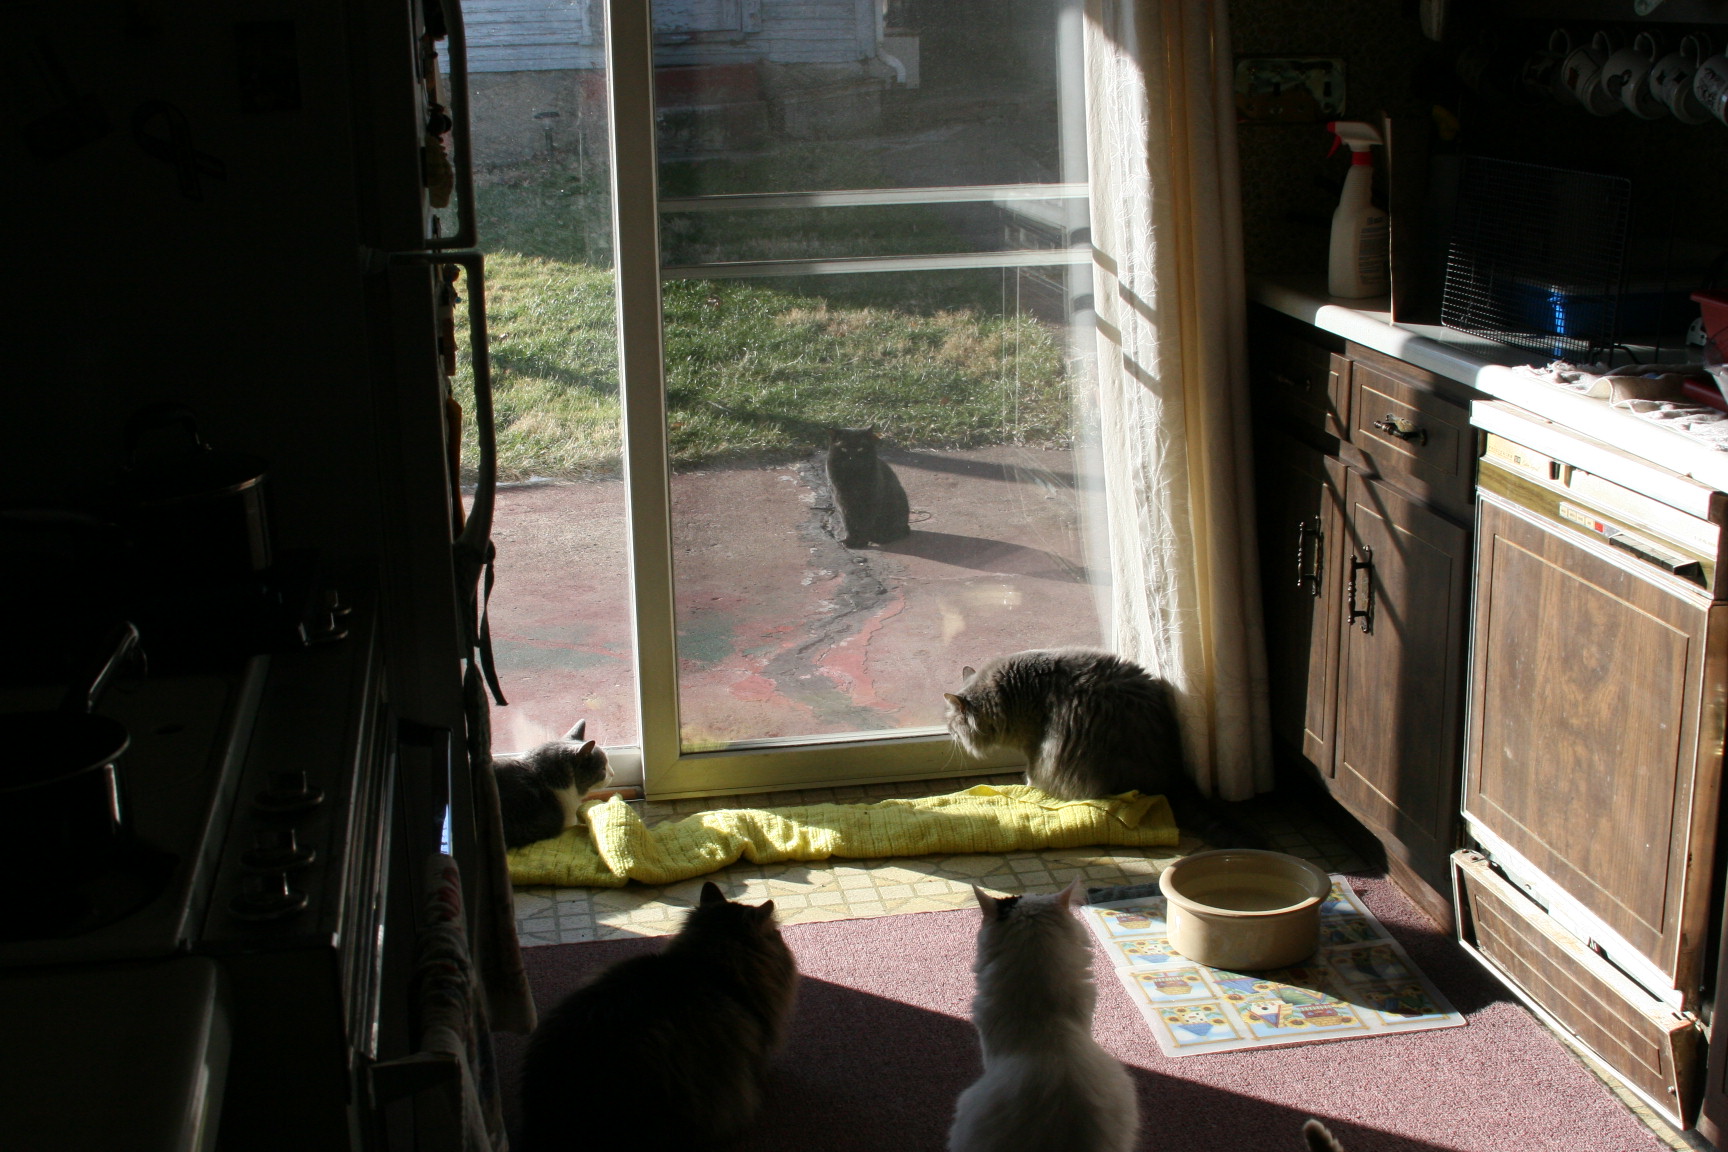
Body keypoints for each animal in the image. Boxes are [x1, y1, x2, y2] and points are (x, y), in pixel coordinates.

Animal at [943, 647, 1265, 849]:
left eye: (953, 724)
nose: (949, 733)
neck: (1010, 694)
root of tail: (1171, 776)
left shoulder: (1036, 743)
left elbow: (1033, 768)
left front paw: (1030, 783)